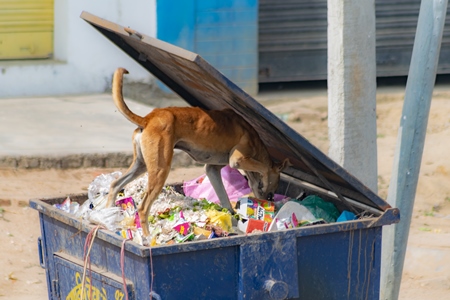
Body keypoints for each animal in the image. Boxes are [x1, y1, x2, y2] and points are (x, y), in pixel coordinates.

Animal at [106, 67, 288, 237]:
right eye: (272, 193)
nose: (269, 200)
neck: (255, 141)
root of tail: (148, 118)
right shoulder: (237, 159)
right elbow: (264, 168)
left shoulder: (213, 169)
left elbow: (224, 197)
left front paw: (232, 218)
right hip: (160, 170)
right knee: (143, 208)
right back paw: (147, 237)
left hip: (141, 165)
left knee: (115, 185)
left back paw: (106, 217)